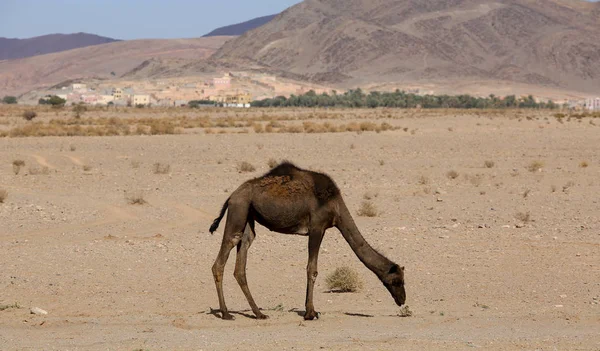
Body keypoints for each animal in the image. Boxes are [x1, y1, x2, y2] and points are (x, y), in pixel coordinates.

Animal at [209, 162, 406, 322]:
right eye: (397, 281)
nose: (402, 300)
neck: (336, 207)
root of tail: (232, 196)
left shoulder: (321, 228)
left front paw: (310, 311)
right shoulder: (317, 227)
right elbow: (312, 269)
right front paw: (310, 313)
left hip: (249, 216)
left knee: (242, 257)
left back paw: (259, 313)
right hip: (239, 210)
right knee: (224, 254)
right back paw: (226, 314)